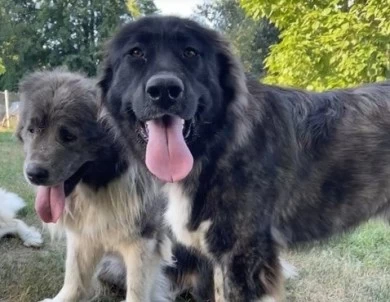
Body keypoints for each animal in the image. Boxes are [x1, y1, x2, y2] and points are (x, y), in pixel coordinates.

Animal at [16, 70, 172, 302]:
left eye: (68, 136)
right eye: (32, 130)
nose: (33, 174)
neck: (105, 183)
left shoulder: (143, 242)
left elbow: (136, 292)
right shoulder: (84, 237)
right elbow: (74, 280)